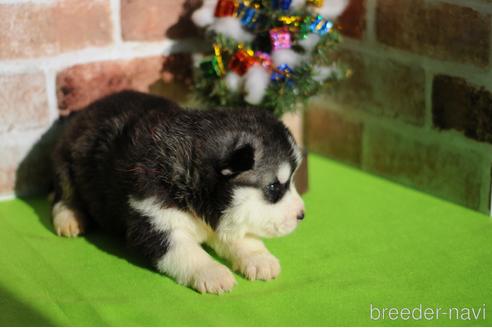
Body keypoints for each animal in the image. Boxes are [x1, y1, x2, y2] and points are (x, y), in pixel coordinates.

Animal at [50, 90, 304, 294]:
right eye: (274, 187)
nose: (302, 215)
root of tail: (87, 108)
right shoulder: (153, 221)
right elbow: (187, 252)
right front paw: (213, 273)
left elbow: (240, 236)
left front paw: (259, 257)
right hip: (67, 159)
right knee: (62, 194)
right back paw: (69, 218)